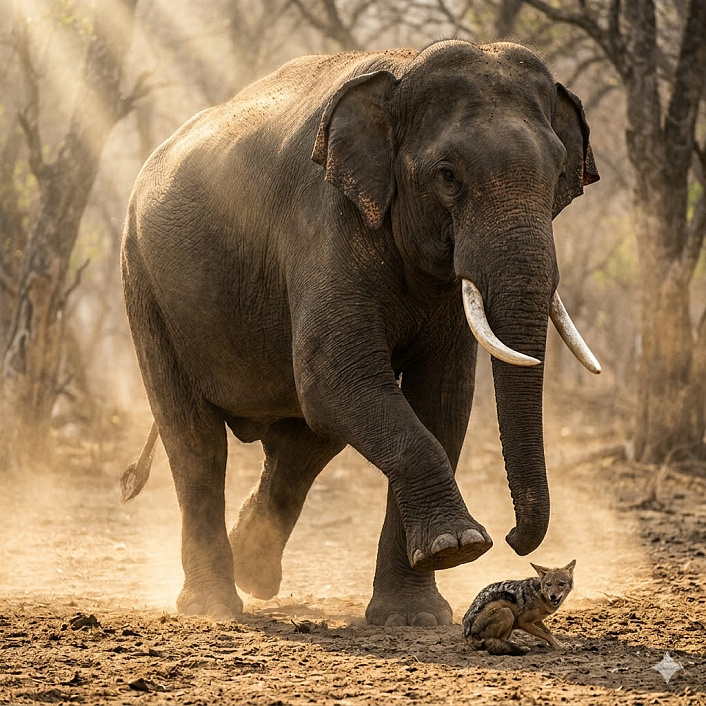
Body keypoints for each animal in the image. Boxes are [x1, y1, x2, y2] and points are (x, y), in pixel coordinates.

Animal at [120, 39, 600, 626]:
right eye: (448, 175)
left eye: (558, 175)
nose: (513, 538)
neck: (402, 72)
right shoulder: (323, 220)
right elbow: (338, 376)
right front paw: (460, 547)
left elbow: (440, 399)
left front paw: (416, 616)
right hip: (144, 282)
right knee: (197, 442)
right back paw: (214, 607)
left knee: (306, 440)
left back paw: (255, 572)